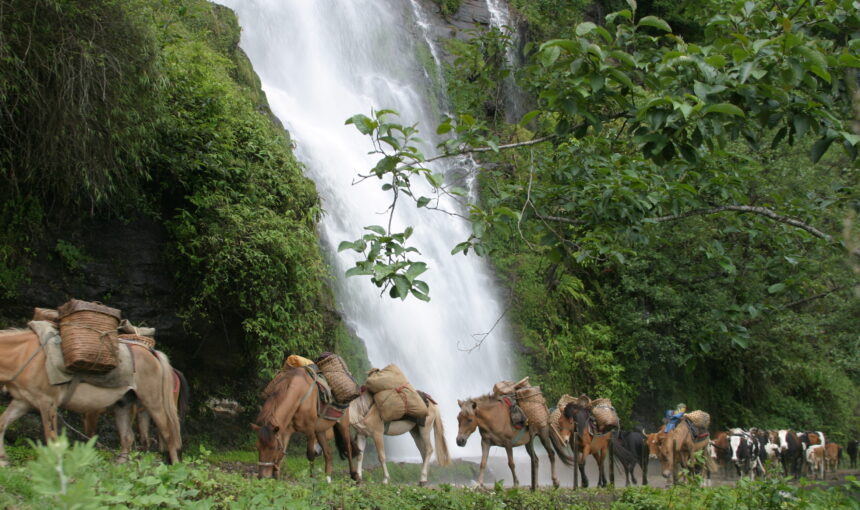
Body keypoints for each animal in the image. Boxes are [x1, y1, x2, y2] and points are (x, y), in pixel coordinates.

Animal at [0, 328, 181, 464]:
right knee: (127, 438)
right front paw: (3, 459)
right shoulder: (23, 402)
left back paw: (175, 467)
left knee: (168, 434)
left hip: (153, 403)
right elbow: (2, 423)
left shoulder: (47, 403)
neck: (24, 355)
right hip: (123, 404)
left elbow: (52, 439)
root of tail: (151, 353)